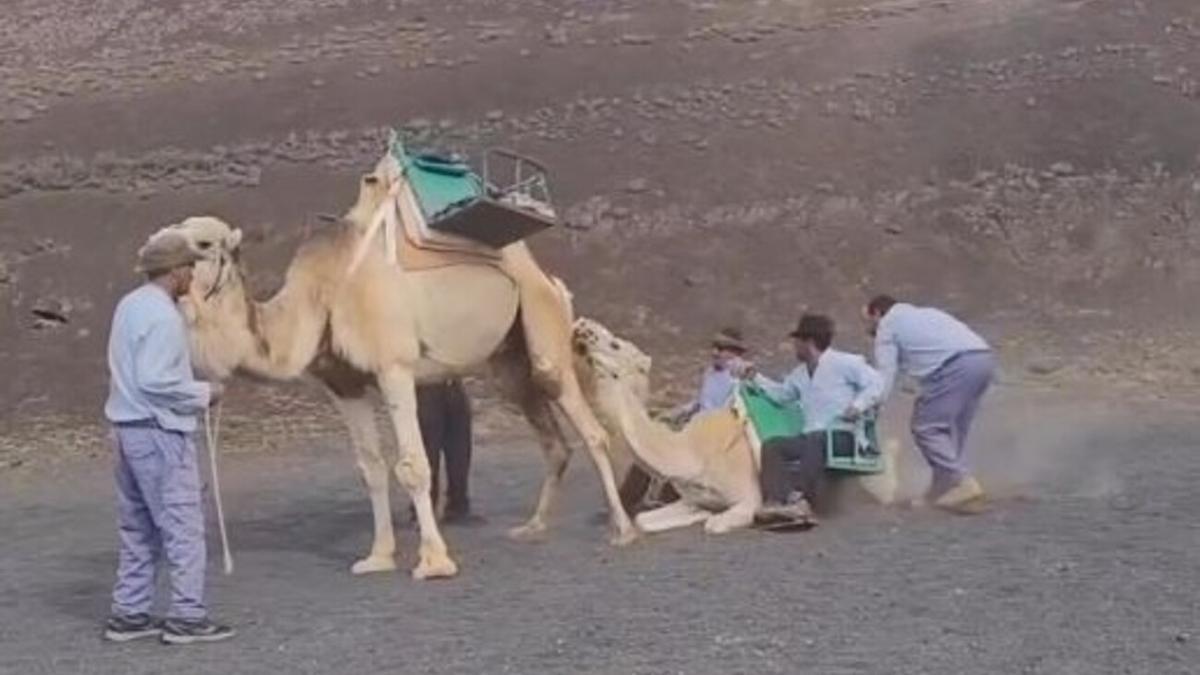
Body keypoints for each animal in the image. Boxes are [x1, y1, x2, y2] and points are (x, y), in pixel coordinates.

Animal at [168, 158, 638, 578]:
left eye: (204, 243)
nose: (157, 253)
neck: (321, 294)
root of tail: (548, 277)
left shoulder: (393, 367)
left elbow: (412, 465)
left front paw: (433, 562)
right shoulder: (344, 384)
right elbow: (371, 468)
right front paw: (378, 557)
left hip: (543, 325)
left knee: (588, 427)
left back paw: (623, 530)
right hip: (508, 363)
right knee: (552, 440)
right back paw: (534, 526)